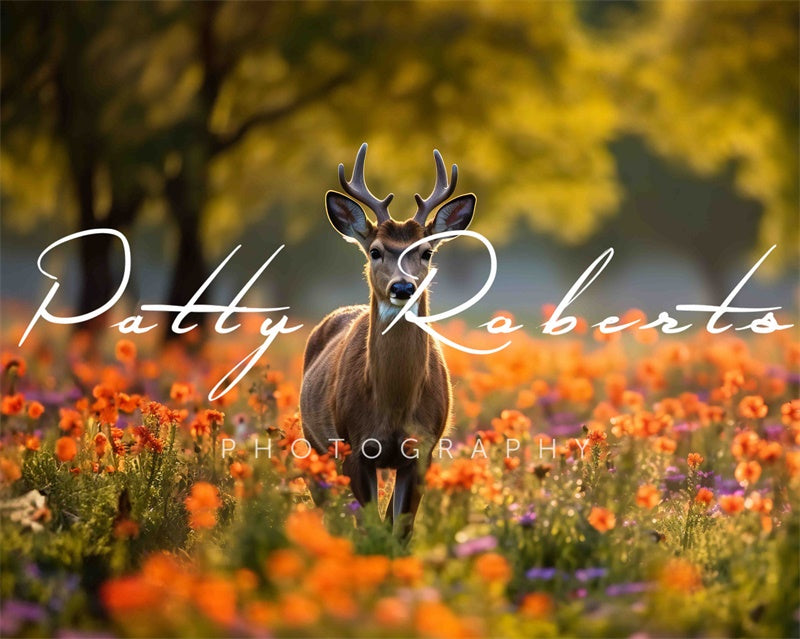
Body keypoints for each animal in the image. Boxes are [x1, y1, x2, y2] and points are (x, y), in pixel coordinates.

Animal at [299, 143, 476, 538]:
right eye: (376, 250)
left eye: (427, 252)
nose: (402, 287)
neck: (393, 407)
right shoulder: (353, 447)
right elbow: (369, 529)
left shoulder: (422, 451)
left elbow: (399, 531)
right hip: (313, 443)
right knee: (327, 510)